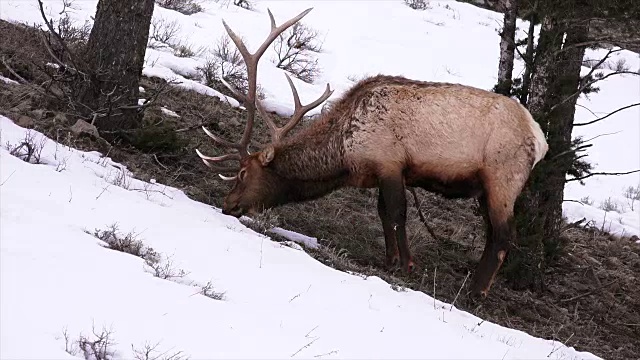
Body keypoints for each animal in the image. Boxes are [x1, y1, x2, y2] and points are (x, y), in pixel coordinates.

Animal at [196, 8, 552, 298]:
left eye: (243, 173)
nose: (227, 205)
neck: (344, 154)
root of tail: (540, 140)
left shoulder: (390, 162)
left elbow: (397, 213)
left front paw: (406, 265)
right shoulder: (384, 171)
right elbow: (383, 214)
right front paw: (389, 259)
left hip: (503, 177)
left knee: (504, 236)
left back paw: (476, 293)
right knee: (493, 234)